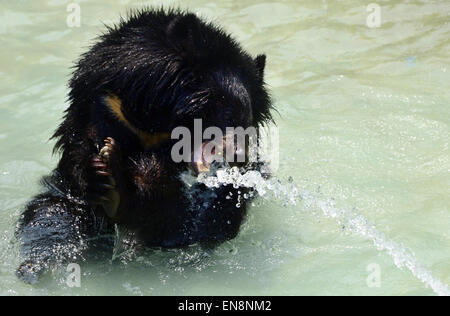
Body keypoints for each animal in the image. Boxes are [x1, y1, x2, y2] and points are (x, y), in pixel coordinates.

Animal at [15, 7, 272, 284]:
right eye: (225, 113)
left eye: (247, 121)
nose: (240, 157)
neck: (157, 122)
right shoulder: (102, 102)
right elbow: (82, 147)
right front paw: (101, 168)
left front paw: (116, 180)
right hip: (64, 200)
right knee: (51, 220)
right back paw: (34, 268)